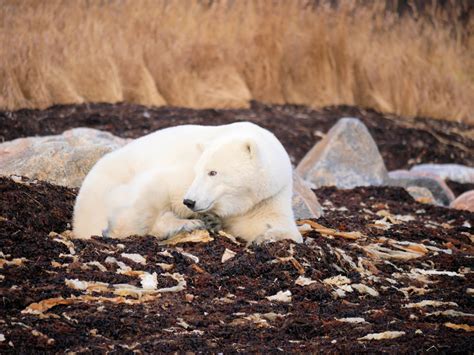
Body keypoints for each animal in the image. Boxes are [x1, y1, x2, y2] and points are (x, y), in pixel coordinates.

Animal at [72, 122, 302, 245]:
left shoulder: (268, 197)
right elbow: (156, 189)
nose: (190, 202)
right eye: (198, 171)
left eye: (213, 172)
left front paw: (267, 236)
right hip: (107, 188)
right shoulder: (180, 173)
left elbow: (274, 224)